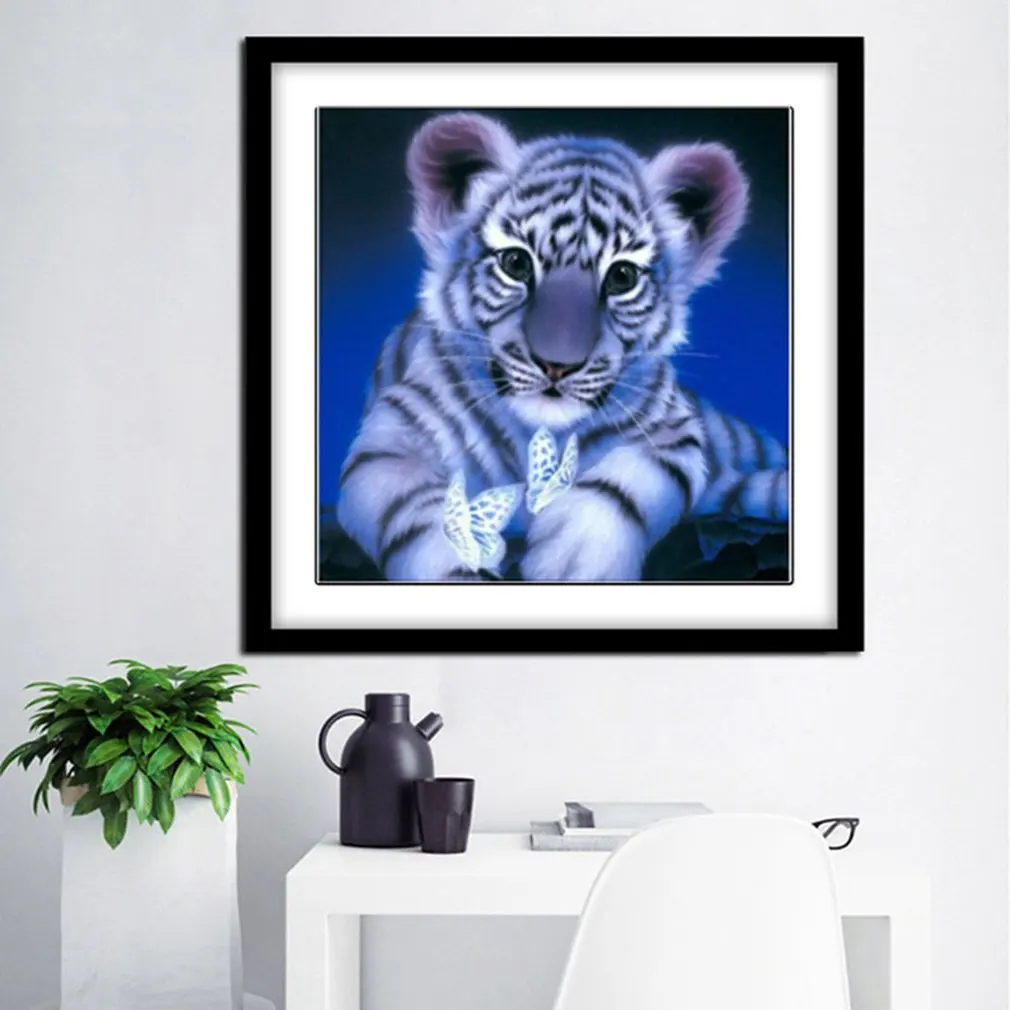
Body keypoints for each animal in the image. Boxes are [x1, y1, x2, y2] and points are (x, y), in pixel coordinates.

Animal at [336, 112, 789, 582]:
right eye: (516, 263)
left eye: (622, 276)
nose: (557, 365)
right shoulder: (391, 440)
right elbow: (422, 514)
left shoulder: (674, 431)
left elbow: (626, 483)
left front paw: (575, 559)